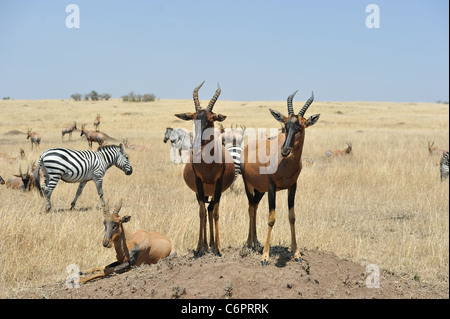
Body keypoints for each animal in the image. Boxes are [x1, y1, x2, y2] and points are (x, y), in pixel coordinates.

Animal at [173, 82, 236, 258]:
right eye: (194, 118)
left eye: (210, 119)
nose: (196, 146)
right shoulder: (199, 183)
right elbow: (200, 212)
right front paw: (199, 247)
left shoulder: (219, 184)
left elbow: (216, 213)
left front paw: (219, 249)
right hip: (201, 191)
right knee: (205, 210)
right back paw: (206, 246)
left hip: (213, 191)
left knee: (211, 209)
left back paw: (212, 245)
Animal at [241, 91, 318, 266]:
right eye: (285, 126)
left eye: (300, 126)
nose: (285, 150)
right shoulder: (272, 187)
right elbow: (271, 218)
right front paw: (265, 257)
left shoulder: (293, 186)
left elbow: (292, 217)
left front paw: (296, 254)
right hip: (248, 185)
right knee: (250, 208)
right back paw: (249, 243)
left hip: (260, 189)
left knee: (255, 206)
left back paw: (255, 242)